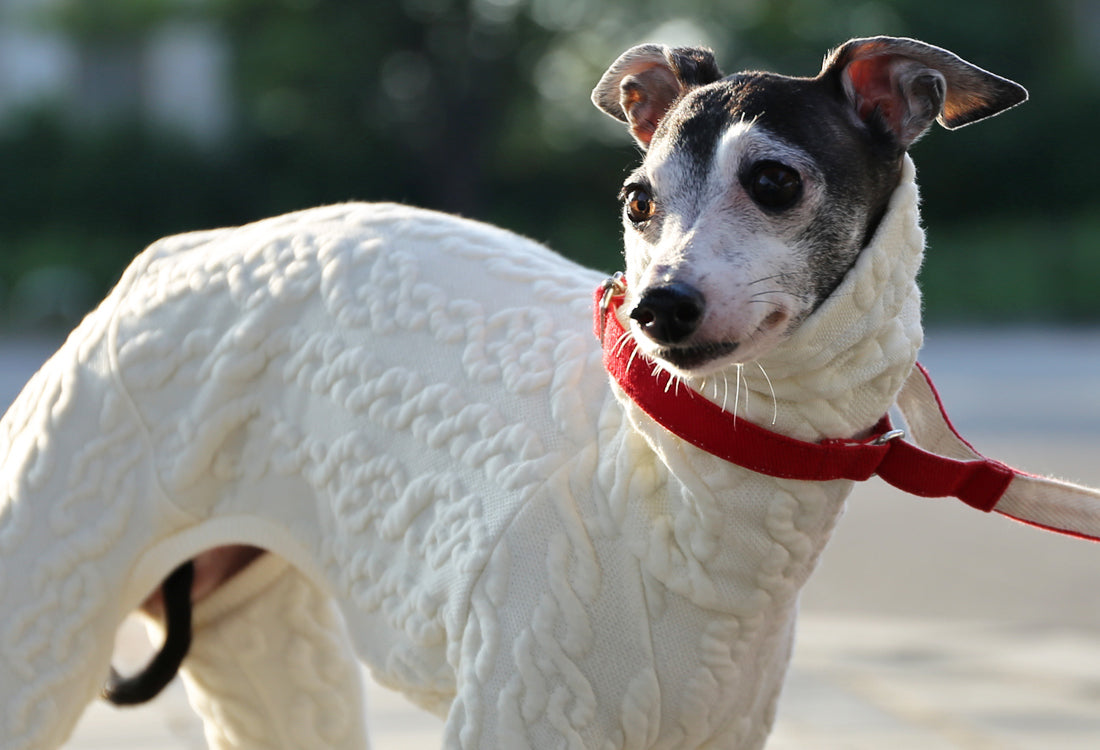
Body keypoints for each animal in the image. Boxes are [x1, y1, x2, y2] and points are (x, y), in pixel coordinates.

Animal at [4, 36, 1025, 747]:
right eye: (637, 201)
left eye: (774, 179)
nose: (657, 310)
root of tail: (170, 258)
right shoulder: (523, 705)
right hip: (51, 590)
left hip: (260, 638)